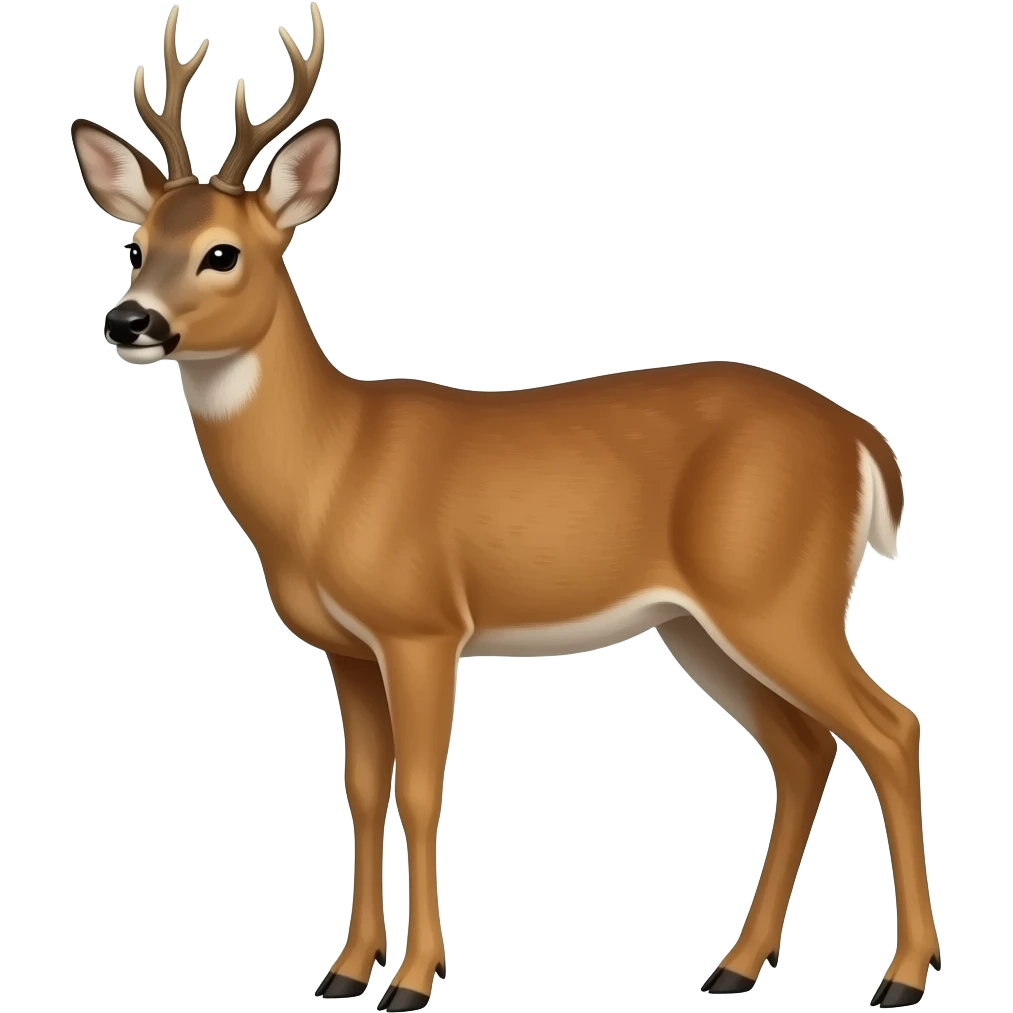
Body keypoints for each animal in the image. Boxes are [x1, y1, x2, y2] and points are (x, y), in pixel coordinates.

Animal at [70, 4, 939, 1009]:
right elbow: (360, 789)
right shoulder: (346, 648)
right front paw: (344, 969)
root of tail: (862, 439)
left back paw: (901, 974)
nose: (129, 321)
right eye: (137, 246)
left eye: (223, 252)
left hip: (779, 595)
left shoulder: (422, 625)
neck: (330, 467)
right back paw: (734, 964)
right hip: (700, 622)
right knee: (801, 752)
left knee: (889, 727)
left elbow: (418, 789)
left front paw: (412, 978)